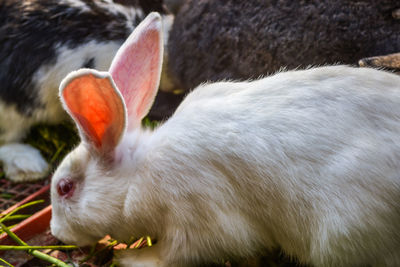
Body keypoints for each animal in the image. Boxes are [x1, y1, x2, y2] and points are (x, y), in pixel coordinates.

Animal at [50, 11, 400, 266]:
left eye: (65, 188)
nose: (55, 233)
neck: (139, 173)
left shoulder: (198, 220)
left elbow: (175, 253)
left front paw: (131, 257)